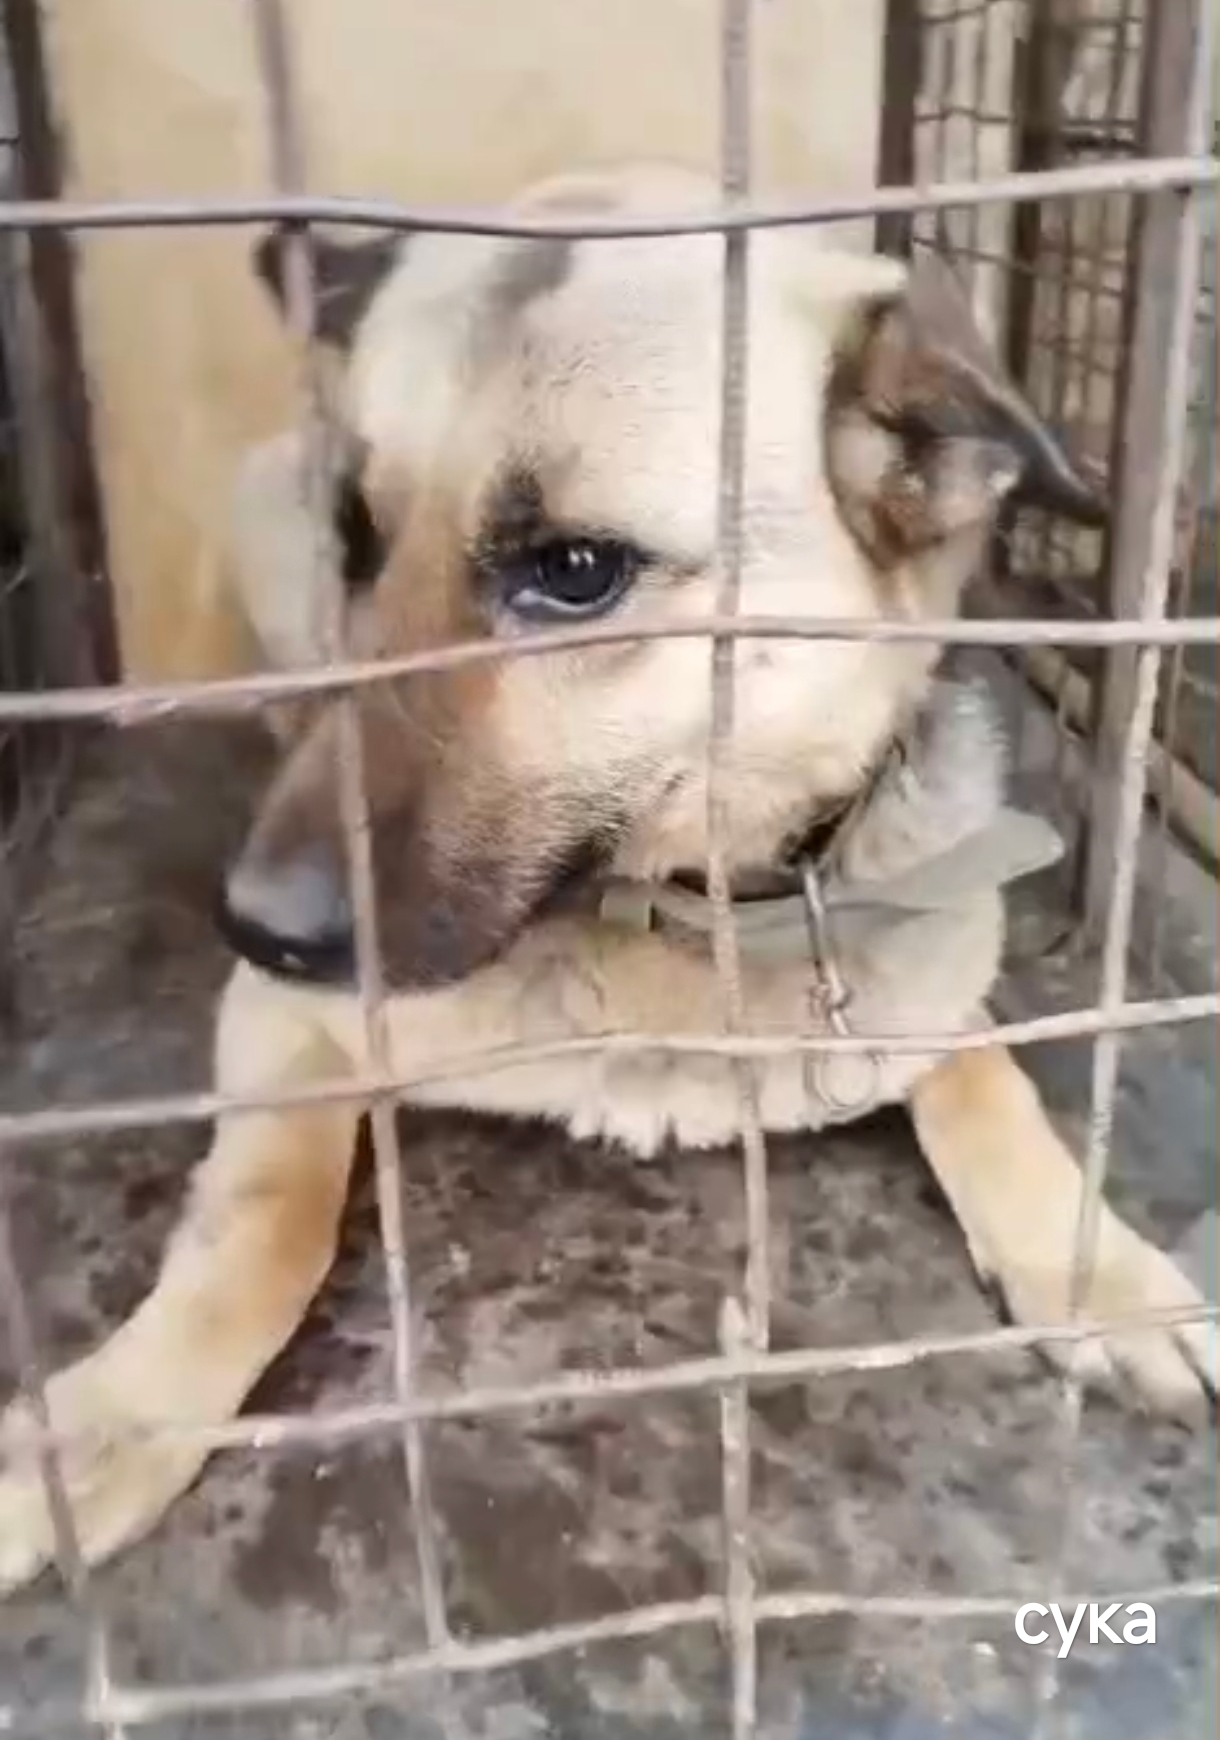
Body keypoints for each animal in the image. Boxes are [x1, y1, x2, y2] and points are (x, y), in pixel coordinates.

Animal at [0, 165, 1212, 1592]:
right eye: (359, 538)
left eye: (573, 571)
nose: (253, 923)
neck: (673, 909)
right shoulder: (285, 1022)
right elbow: (268, 1213)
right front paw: (105, 1423)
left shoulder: (918, 973)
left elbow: (989, 1077)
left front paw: (1097, 1269)